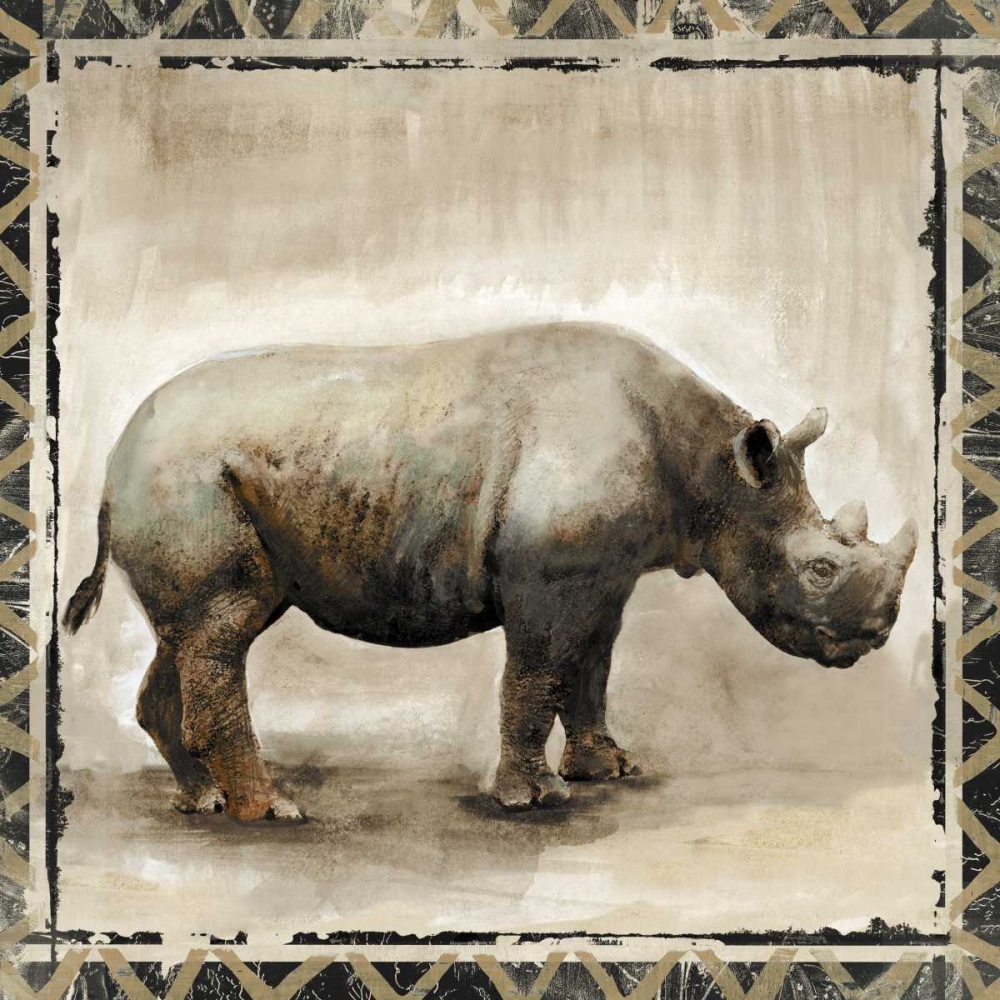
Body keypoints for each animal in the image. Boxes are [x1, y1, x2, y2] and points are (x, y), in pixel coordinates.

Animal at [63, 323, 917, 822]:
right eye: (818, 568)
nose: (874, 636)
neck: (713, 468)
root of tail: (112, 460)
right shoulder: (548, 576)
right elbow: (537, 676)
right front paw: (531, 799)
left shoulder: (602, 577)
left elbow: (592, 667)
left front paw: (608, 769)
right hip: (185, 475)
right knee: (224, 629)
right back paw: (269, 811)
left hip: (192, 478)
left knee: (195, 633)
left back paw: (201, 800)